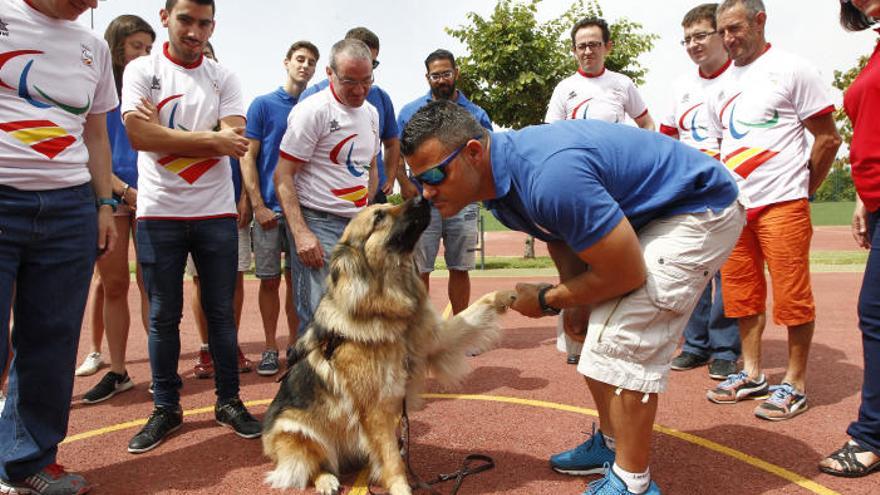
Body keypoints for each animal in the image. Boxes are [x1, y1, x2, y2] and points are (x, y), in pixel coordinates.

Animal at [262, 199, 516, 495]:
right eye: (379, 217)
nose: (422, 198)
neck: (388, 305)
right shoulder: (376, 408)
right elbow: (393, 460)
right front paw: (401, 488)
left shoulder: (436, 341)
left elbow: (474, 312)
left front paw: (505, 296)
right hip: (296, 429)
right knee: (314, 465)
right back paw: (326, 480)